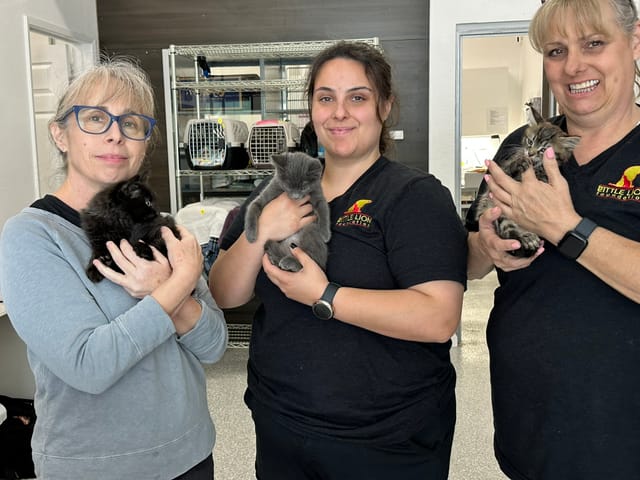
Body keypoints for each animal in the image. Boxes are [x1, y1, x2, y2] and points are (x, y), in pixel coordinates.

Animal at [472, 103, 584, 256]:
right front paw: (520, 161)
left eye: (543, 150)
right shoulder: (501, 173)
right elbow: (509, 168)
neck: (535, 168)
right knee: (506, 229)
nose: (530, 154)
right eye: (530, 141)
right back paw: (525, 238)